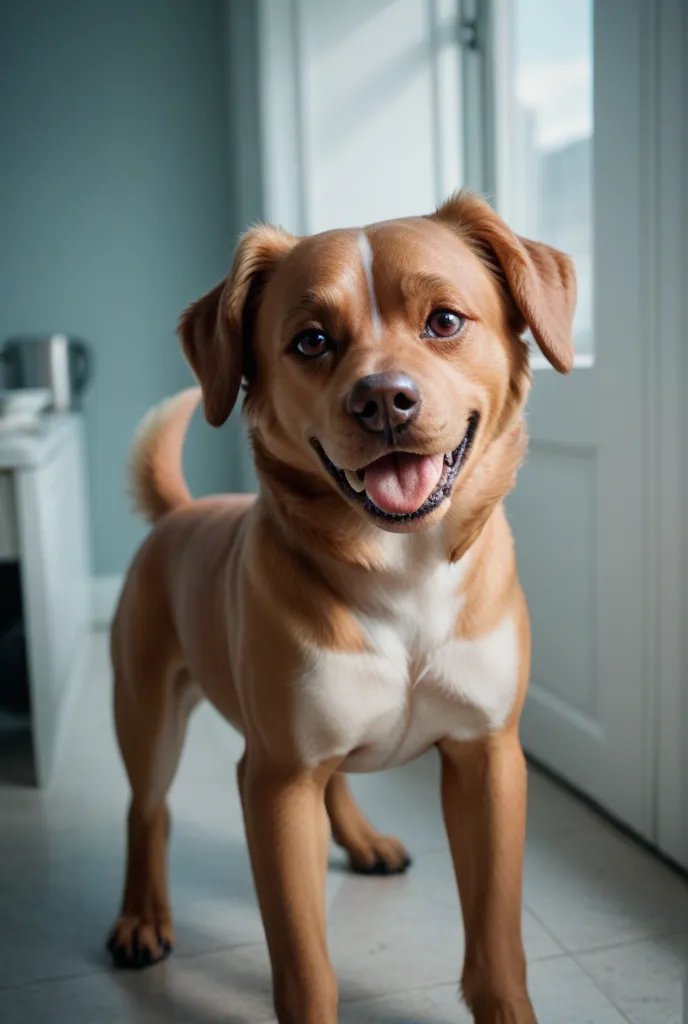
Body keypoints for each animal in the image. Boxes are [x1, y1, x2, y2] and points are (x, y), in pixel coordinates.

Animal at [105, 193, 573, 1024]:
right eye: (312, 340)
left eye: (444, 321)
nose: (383, 398)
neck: (404, 575)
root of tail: (179, 513)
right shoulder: (277, 783)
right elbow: (304, 965)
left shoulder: (487, 758)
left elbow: (496, 947)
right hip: (147, 709)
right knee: (147, 809)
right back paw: (141, 916)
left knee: (337, 778)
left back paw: (362, 840)